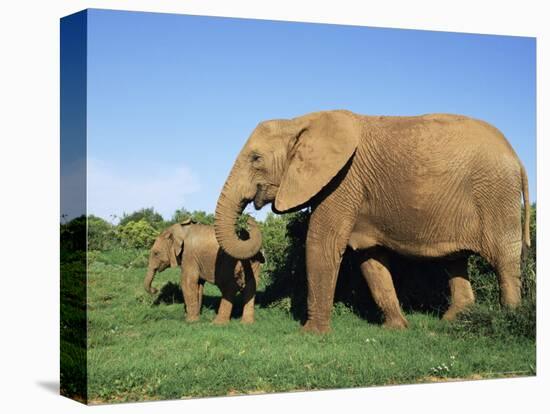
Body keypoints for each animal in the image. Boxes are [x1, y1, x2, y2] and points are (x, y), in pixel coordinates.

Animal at [215, 109, 532, 334]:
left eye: (256, 159)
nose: (248, 222)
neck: (299, 122)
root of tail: (517, 157)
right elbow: (370, 259)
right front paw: (396, 329)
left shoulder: (343, 181)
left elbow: (321, 243)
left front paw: (310, 334)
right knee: (455, 259)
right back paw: (452, 322)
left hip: (495, 193)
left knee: (504, 258)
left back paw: (510, 318)